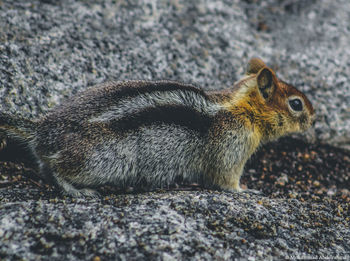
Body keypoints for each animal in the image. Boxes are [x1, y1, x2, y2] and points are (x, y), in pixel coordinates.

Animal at [0, 58, 314, 196]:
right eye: (296, 104)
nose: (315, 117)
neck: (241, 110)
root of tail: (43, 129)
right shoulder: (230, 152)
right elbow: (225, 181)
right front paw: (246, 190)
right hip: (101, 162)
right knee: (56, 169)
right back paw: (78, 191)